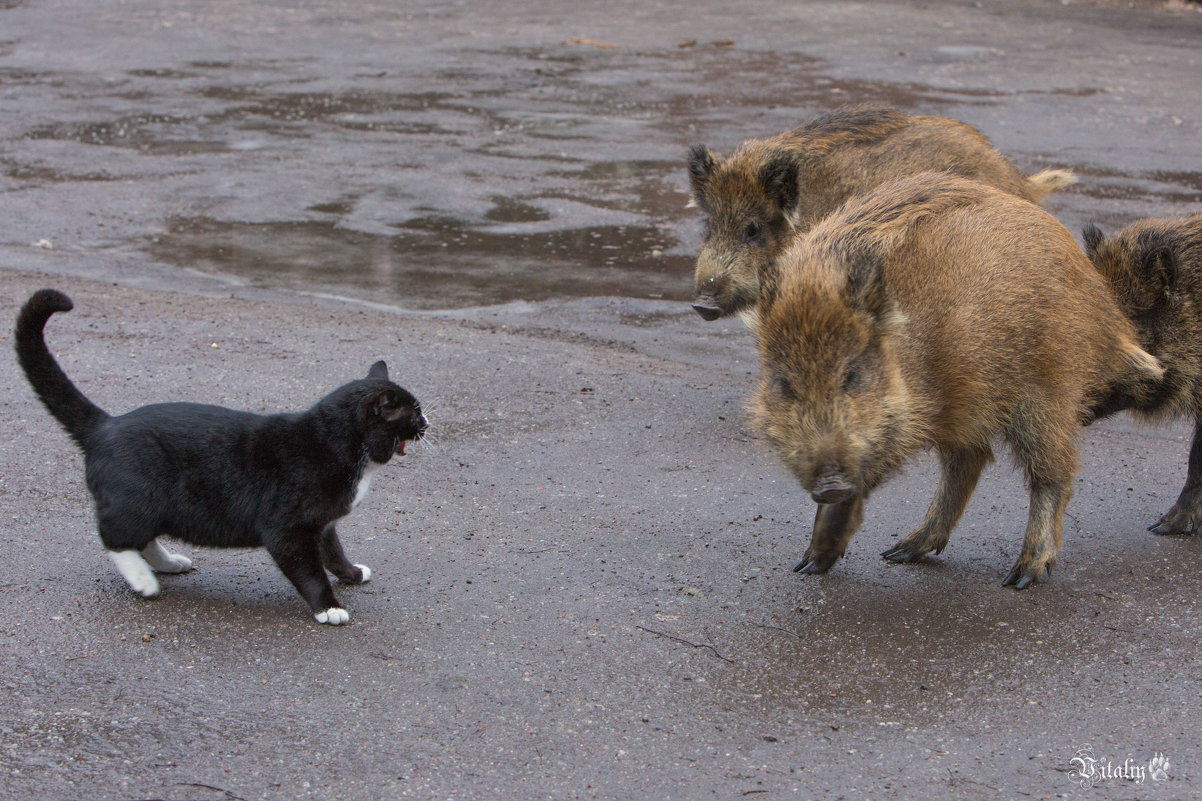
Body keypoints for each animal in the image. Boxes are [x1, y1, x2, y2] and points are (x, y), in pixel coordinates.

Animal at [15, 288, 427, 625]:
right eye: (413, 412)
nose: (426, 422)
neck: (335, 443)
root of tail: (105, 425)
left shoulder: (323, 525)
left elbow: (333, 553)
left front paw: (352, 573)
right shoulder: (288, 531)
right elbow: (310, 571)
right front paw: (329, 607)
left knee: (141, 538)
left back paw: (169, 563)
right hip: (139, 502)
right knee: (114, 535)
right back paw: (143, 580)